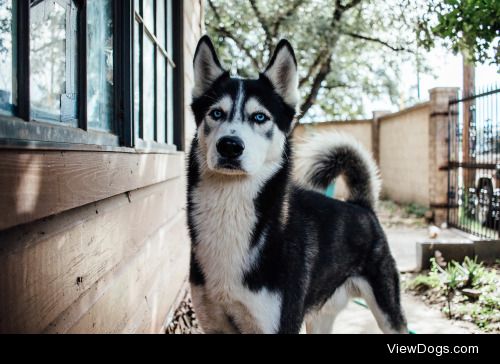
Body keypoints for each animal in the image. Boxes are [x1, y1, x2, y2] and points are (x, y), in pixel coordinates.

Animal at [188, 35, 406, 334]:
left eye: (260, 117)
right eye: (216, 113)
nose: (230, 146)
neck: (229, 208)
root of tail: (361, 206)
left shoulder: (280, 323)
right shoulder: (213, 323)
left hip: (388, 311)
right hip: (320, 317)